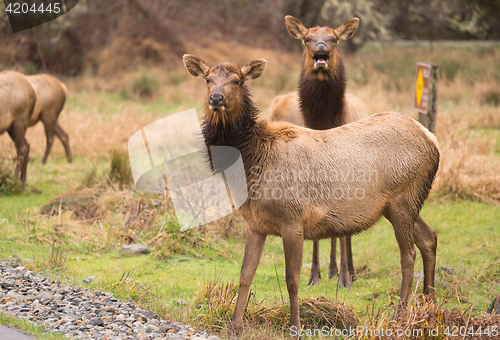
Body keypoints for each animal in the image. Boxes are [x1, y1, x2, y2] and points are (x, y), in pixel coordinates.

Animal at [184, 55, 438, 332]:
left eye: (237, 80)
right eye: (208, 79)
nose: (216, 98)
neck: (252, 161)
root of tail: (433, 140)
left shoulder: (293, 219)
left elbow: (292, 279)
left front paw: (294, 325)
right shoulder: (256, 223)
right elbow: (245, 274)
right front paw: (234, 325)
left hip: (403, 198)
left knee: (408, 255)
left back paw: (400, 315)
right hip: (403, 203)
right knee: (429, 238)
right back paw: (429, 306)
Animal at [270, 15, 372, 286]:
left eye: (334, 39)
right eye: (307, 38)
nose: (321, 50)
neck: (325, 121)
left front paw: (345, 277)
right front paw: (314, 274)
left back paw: (349, 271)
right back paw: (332, 269)